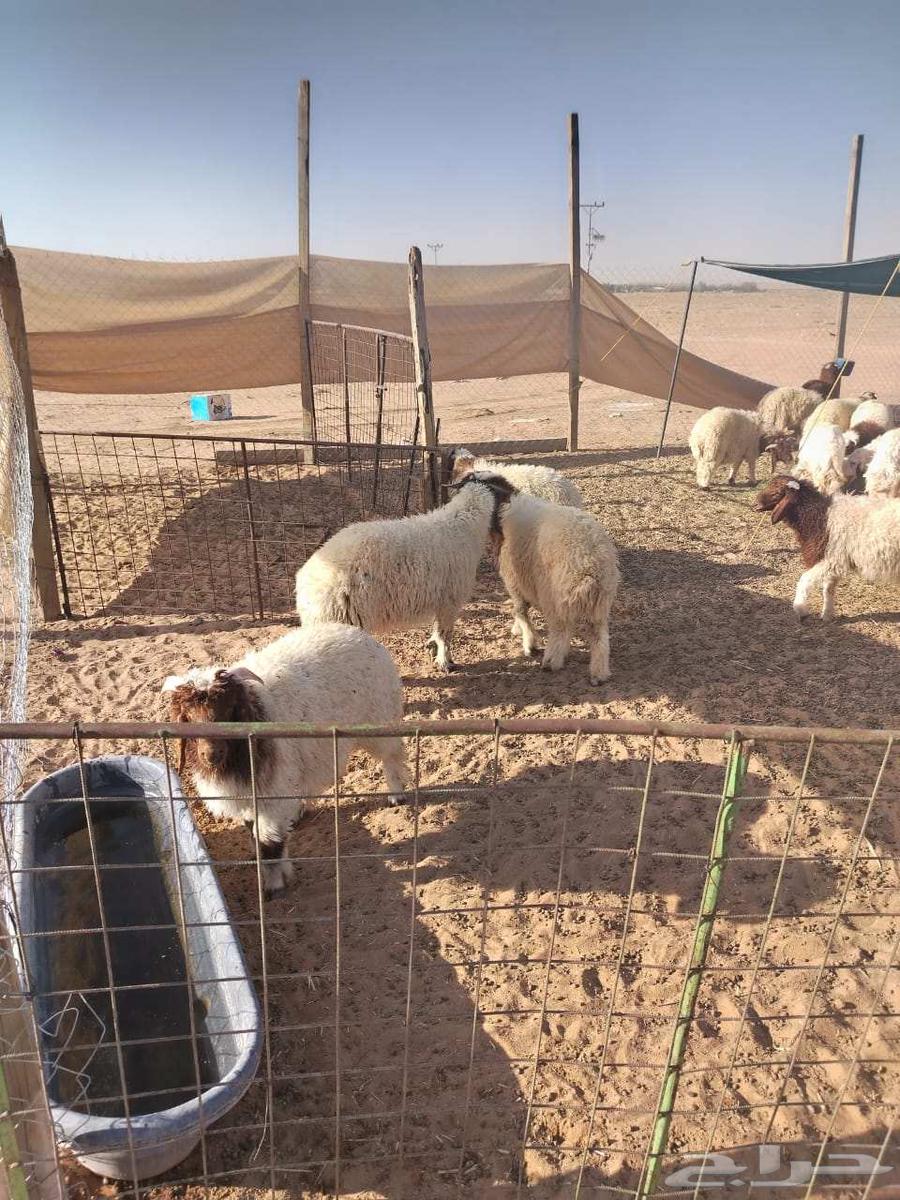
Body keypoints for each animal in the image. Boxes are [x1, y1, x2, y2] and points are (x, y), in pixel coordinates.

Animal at [162, 624, 409, 895]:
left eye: (228, 710)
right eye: (187, 716)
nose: (211, 755)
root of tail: (353, 631)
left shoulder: (271, 794)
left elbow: (269, 842)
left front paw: (274, 885)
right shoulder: (254, 794)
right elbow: (255, 834)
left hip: (378, 719)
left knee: (392, 755)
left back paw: (396, 794)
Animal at [296, 471, 517, 671]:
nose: (516, 493)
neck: (465, 522)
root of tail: (305, 585)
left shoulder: (441, 601)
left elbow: (437, 630)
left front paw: (432, 646)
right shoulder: (450, 600)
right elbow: (445, 634)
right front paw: (445, 662)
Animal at [492, 492, 620, 685]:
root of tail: (590, 564)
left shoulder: (515, 581)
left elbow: (521, 611)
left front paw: (529, 642)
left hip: (553, 595)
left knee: (560, 630)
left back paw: (551, 661)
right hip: (599, 602)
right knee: (600, 638)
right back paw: (599, 674)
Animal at [755, 475, 900, 619]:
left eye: (777, 493)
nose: (755, 504)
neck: (820, 516)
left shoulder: (832, 559)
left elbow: (805, 579)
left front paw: (800, 608)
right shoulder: (833, 560)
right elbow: (828, 588)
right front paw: (827, 614)